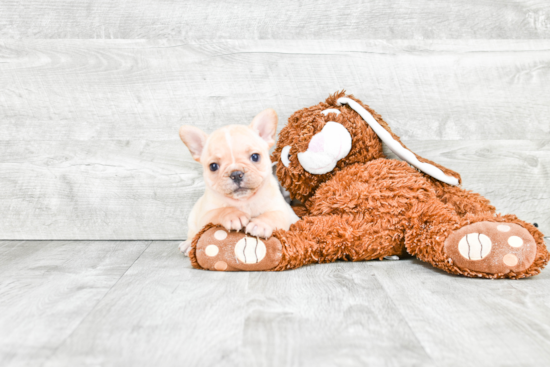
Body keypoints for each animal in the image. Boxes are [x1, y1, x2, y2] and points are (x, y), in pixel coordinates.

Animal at [178, 109, 300, 256]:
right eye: (213, 166)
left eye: (255, 157)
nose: (236, 174)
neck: (244, 201)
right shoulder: (205, 215)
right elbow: (220, 211)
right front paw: (234, 215)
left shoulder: (282, 209)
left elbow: (272, 215)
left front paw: (259, 224)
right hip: (193, 218)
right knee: (192, 233)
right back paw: (188, 244)